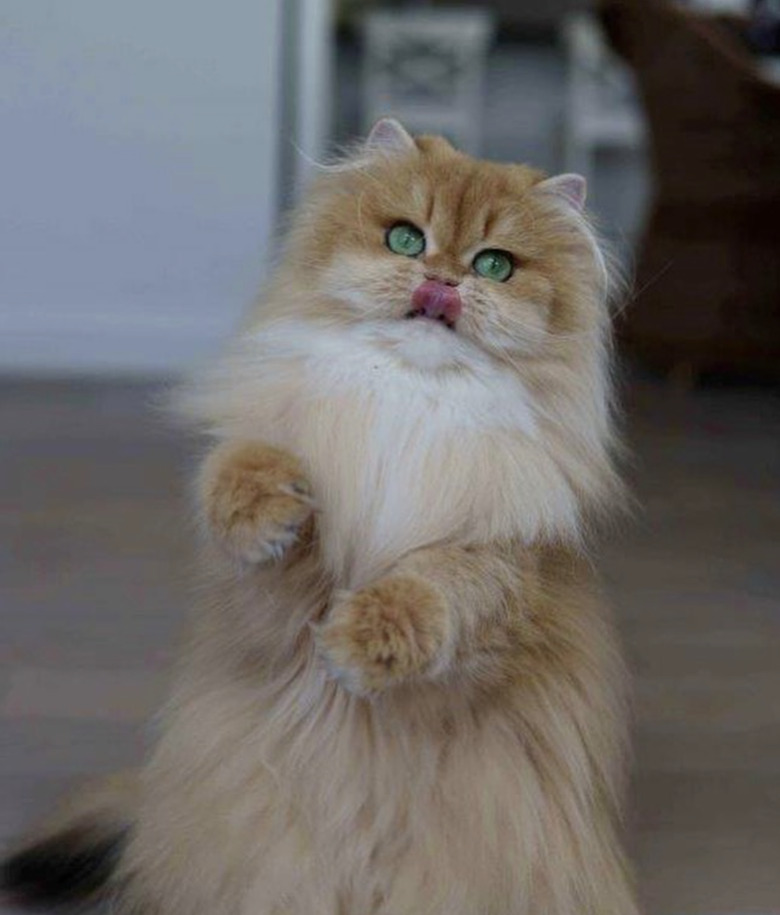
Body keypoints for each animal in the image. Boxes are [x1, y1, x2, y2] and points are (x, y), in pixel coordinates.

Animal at [1, 121, 640, 915]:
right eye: (406, 240)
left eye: (494, 265)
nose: (442, 280)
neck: (407, 403)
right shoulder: (271, 596)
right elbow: (252, 472)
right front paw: (269, 515)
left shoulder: (498, 581)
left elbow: (430, 591)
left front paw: (361, 644)